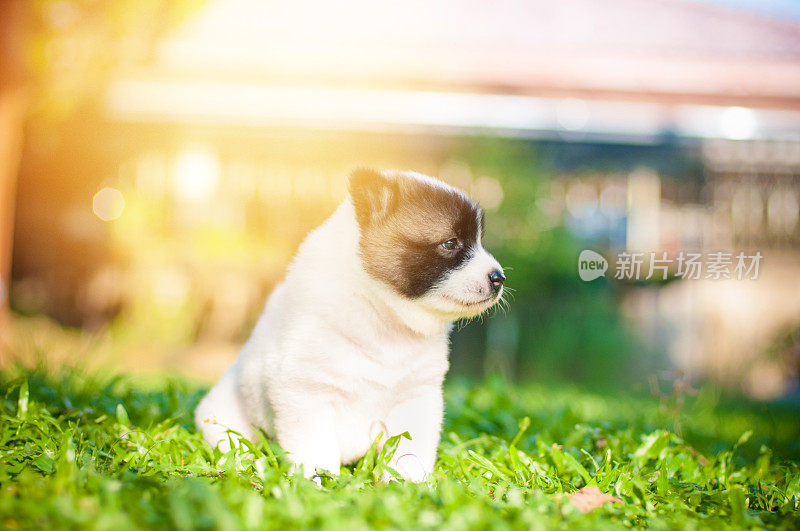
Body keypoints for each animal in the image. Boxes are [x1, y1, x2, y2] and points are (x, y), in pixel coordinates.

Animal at [195, 169, 504, 482]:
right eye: (451, 244)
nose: (498, 278)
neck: (384, 319)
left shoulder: (416, 397)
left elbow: (410, 451)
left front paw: (408, 482)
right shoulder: (306, 393)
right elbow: (315, 448)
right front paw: (318, 482)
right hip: (222, 418)